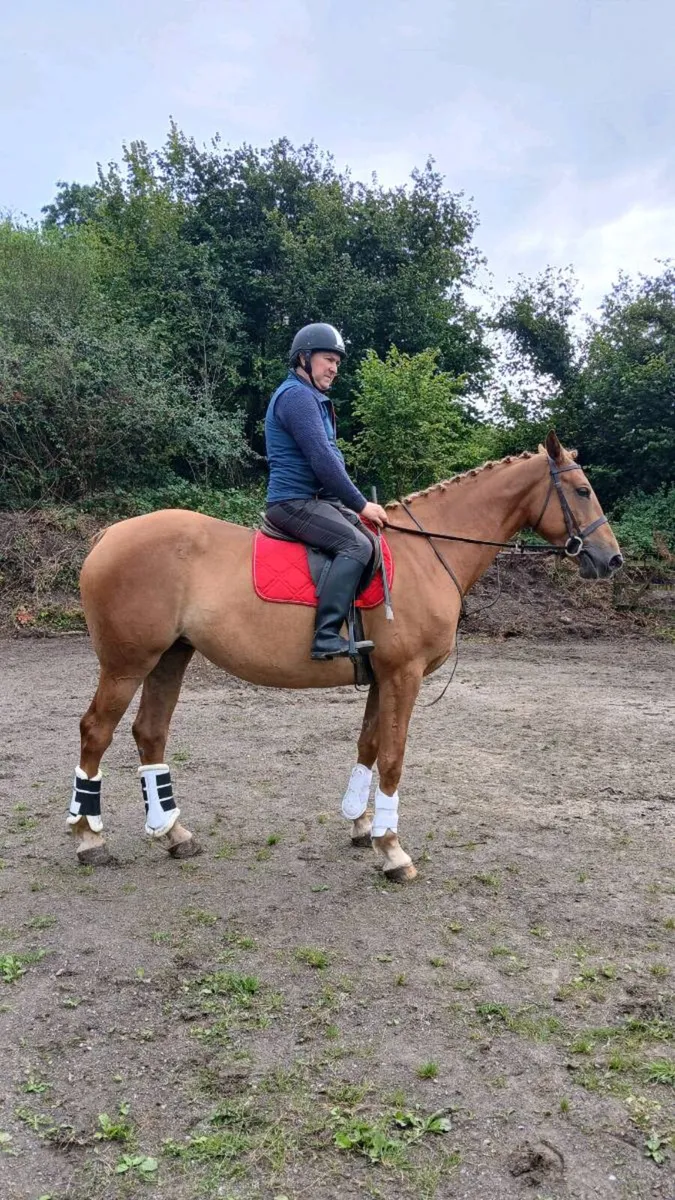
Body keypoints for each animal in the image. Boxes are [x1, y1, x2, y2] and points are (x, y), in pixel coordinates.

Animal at [68, 432, 623, 880]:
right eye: (581, 491)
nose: (612, 559)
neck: (427, 553)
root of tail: (110, 535)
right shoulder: (404, 675)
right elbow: (394, 757)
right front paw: (392, 850)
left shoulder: (382, 677)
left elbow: (369, 745)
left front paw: (361, 825)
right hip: (127, 666)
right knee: (96, 731)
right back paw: (89, 838)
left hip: (170, 658)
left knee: (150, 733)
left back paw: (172, 834)